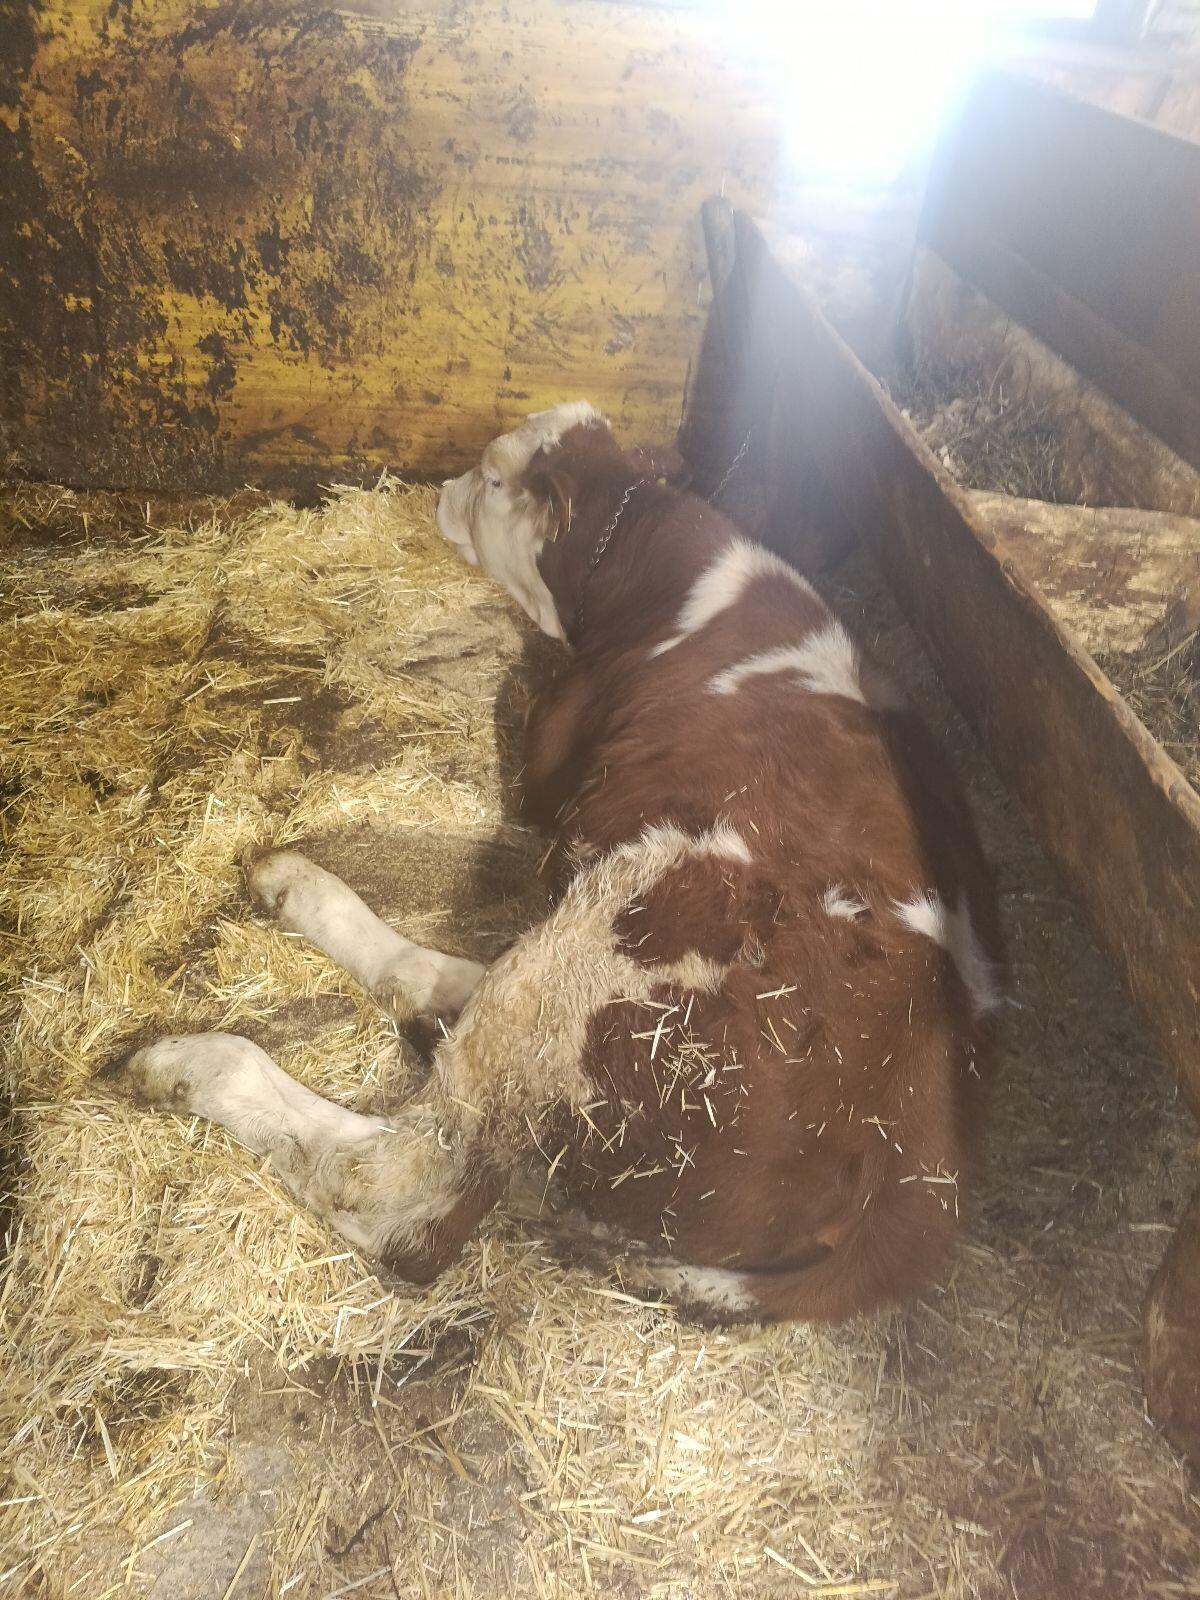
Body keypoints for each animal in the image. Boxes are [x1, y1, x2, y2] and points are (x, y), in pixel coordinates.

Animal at [121, 401, 1000, 1323]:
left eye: (492, 477)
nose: (443, 491)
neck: (672, 572)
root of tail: (913, 1191)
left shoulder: (554, 756)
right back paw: (302, 895)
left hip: (646, 916)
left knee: (408, 1186)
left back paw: (191, 1064)